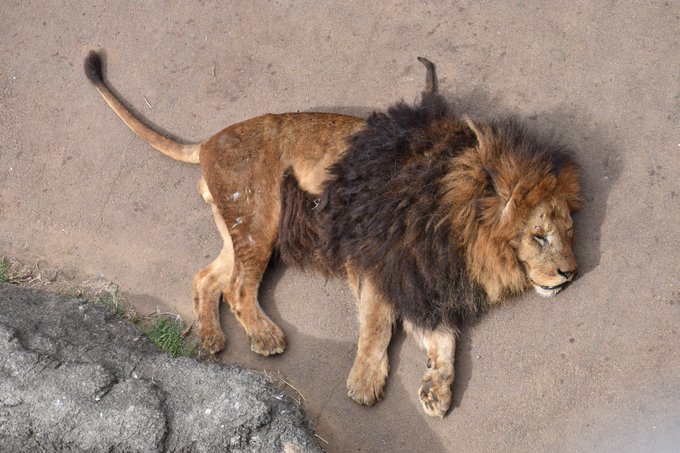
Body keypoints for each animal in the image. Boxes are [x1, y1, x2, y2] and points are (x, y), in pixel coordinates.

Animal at [85, 52, 580, 416]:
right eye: (538, 236)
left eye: (568, 232)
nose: (570, 273)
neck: (456, 228)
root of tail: (207, 141)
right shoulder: (377, 261)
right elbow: (377, 326)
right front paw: (364, 382)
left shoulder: (424, 279)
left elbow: (443, 340)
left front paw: (436, 390)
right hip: (261, 216)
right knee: (238, 287)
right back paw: (265, 337)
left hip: (242, 226)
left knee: (206, 276)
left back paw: (210, 338)